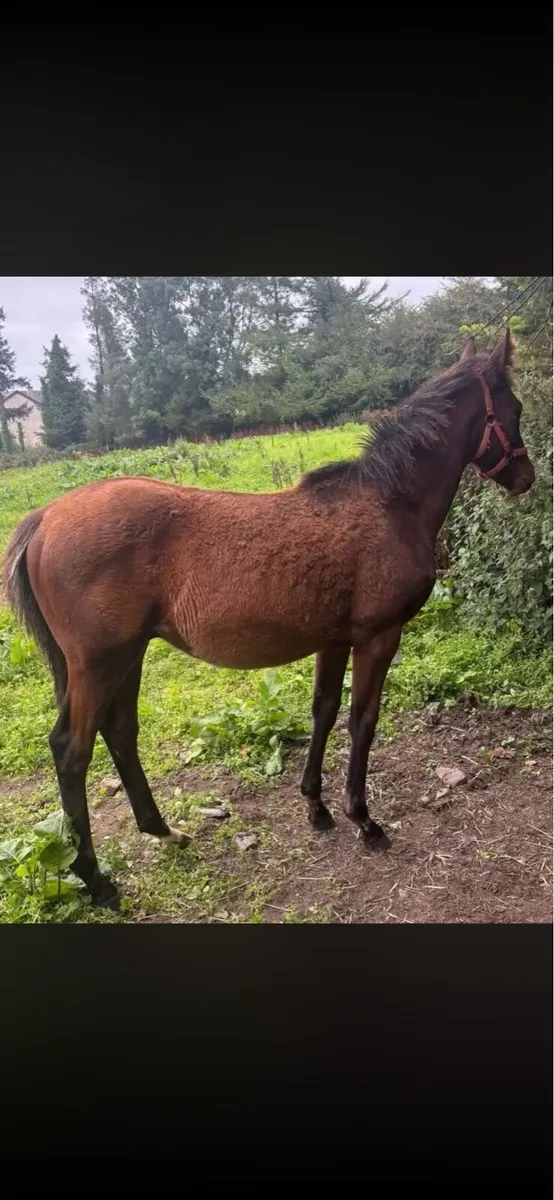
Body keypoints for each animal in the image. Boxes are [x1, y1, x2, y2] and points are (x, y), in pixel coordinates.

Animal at [4, 331, 535, 910]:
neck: (390, 503)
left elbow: (323, 711)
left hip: (127, 656)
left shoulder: (334, 639)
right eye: (515, 408)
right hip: (100, 663)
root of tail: (45, 518)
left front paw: (316, 808)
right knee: (72, 751)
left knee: (120, 732)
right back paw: (97, 880)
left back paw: (164, 832)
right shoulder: (378, 638)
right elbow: (362, 721)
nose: (526, 478)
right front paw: (363, 820)